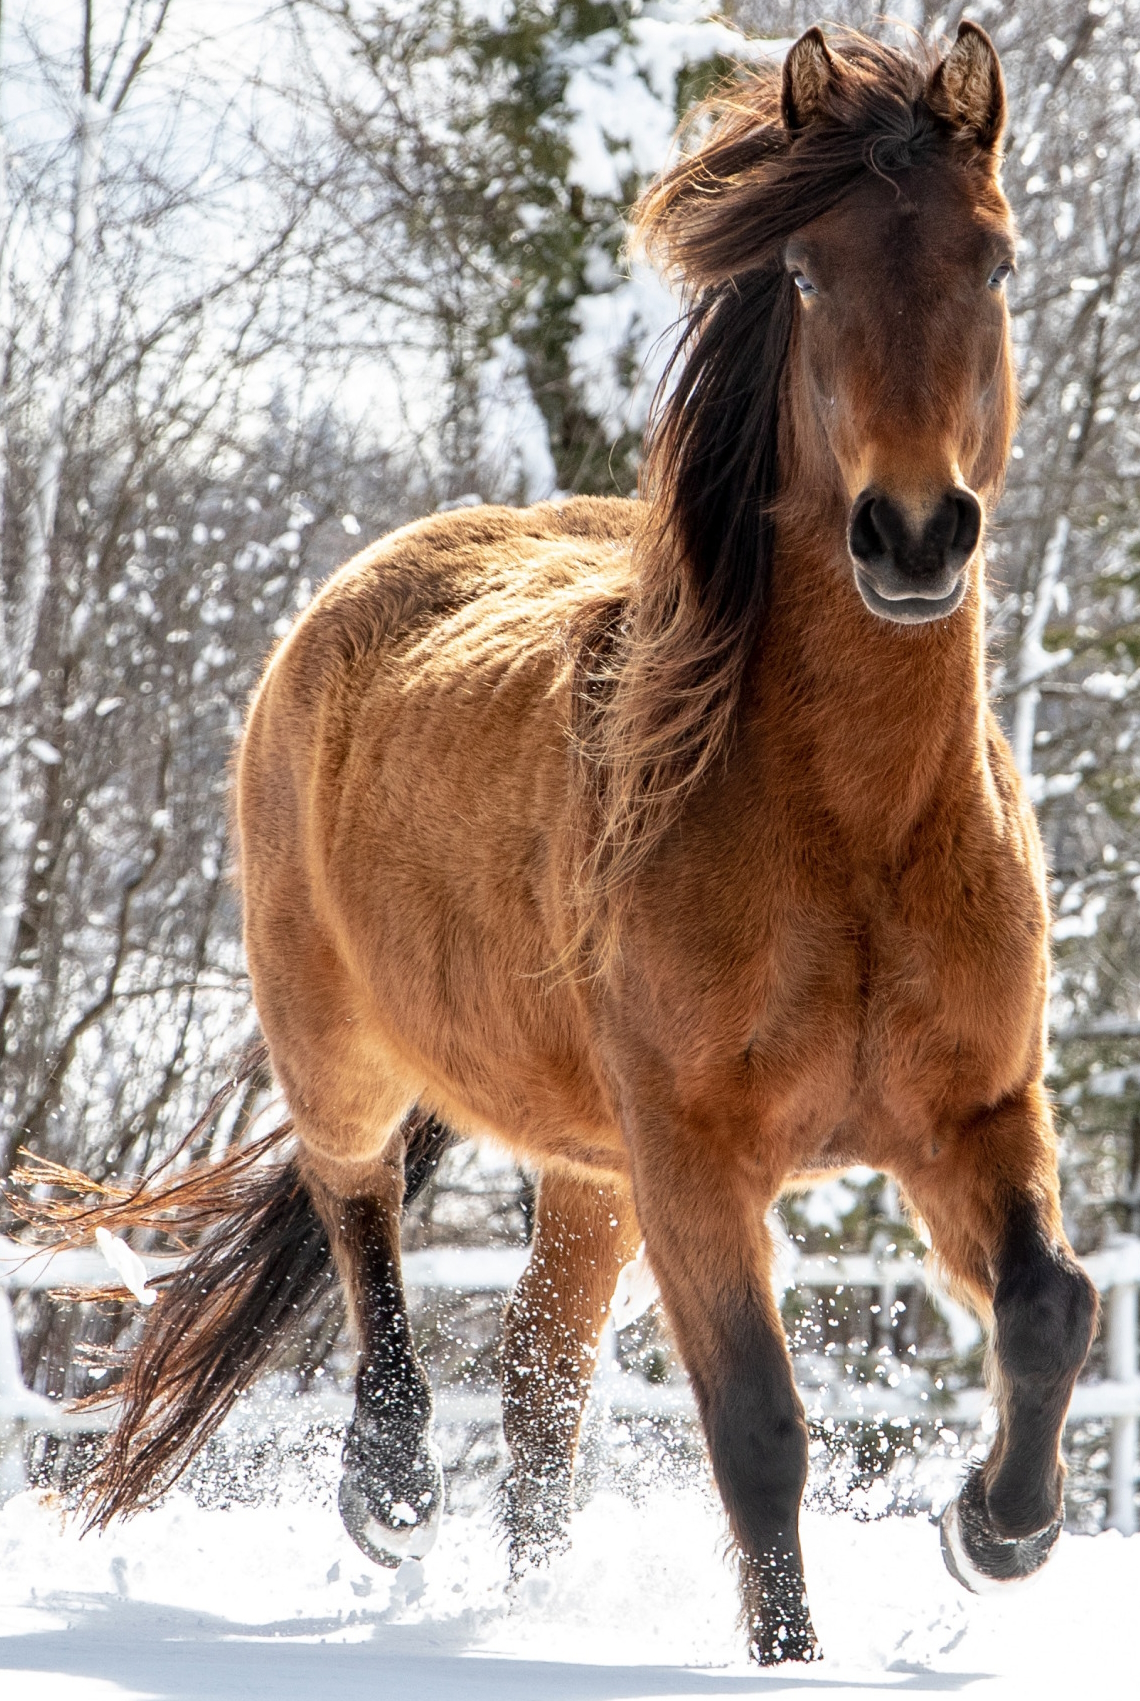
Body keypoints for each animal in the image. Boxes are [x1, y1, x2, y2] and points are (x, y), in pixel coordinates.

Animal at [40, 26, 1102, 1666]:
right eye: (806, 275)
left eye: (994, 261)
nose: (914, 533)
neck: (856, 836)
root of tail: (353, 594)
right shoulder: (695, 1159)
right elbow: (760, 1429)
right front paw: (793, 1662)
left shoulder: (970, 1114)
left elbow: (1053, 1304)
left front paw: (996, 1532)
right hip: (346, 1050)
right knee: (362, 1220)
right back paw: (390, 1489)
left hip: (590, 1169)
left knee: (542, 1391)